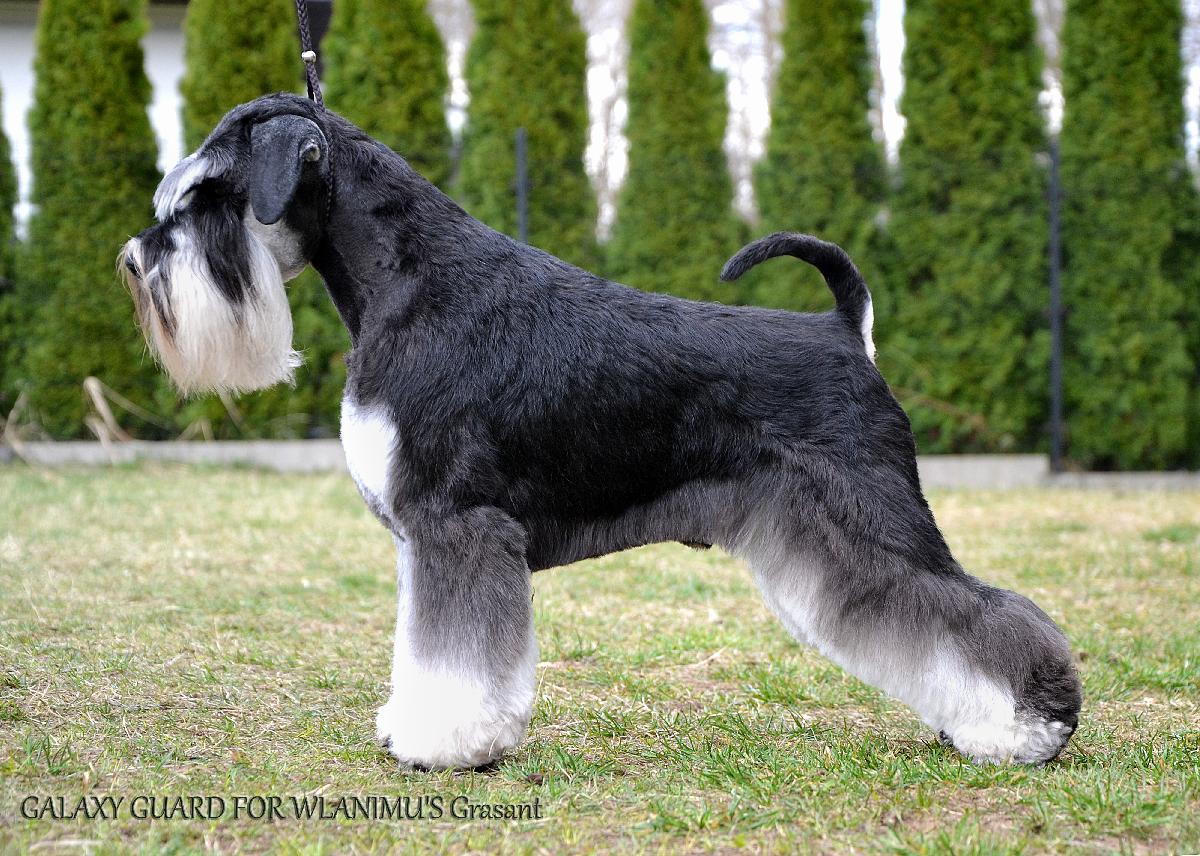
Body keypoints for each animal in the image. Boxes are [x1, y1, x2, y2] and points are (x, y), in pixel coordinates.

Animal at [120, 93, 1081, 770]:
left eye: (206, 197)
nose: (134, 260)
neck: (406, 279)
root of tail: (847, 329)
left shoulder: (458, 526)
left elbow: (452, 653)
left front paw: (444, 743)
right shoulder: (427, 538)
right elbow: (423, 646)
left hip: (873, 522)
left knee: (976, 611)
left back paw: (1029, 728)